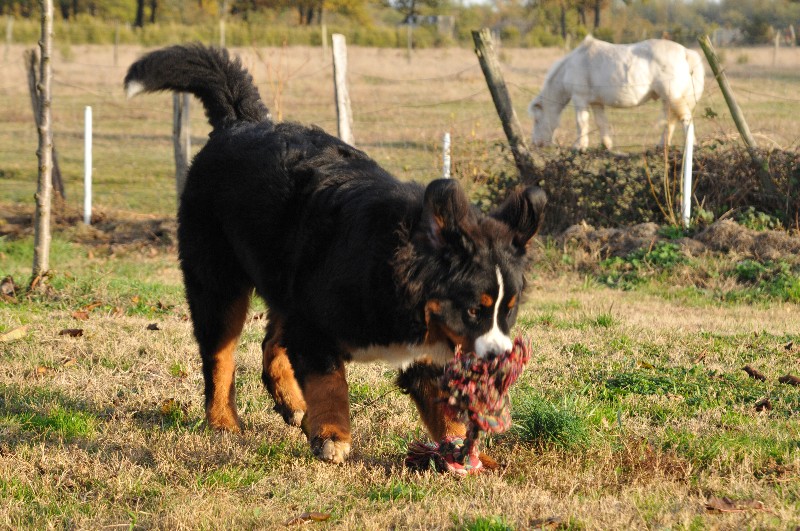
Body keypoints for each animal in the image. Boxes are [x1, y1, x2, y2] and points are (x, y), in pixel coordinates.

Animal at [125, 43, 548, 464]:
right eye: (475, 309)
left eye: (508, 310)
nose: (498, 359)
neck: (386, 266)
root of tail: (239, 121)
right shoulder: (316, 322)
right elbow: (328, 379)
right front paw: (332, 434)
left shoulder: (428, 343)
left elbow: (440, 403)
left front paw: (463, 452)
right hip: (219, 282)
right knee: (221, 356)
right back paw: (225, 422)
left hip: (285, 278)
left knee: (271, 343)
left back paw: (292, 403)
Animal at [528, 34, 704, 152]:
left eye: (536, 120)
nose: (536, 144)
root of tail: (686, 52)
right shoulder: (596, 103)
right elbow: (601, 123)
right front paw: (606, 145)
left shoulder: (580, 99)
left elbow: (581, 123)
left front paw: (579, 146)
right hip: (668, 99)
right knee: (670, 121)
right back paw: (662, 145)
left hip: (672, 96)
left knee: (685, 119)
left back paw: (690, 144)